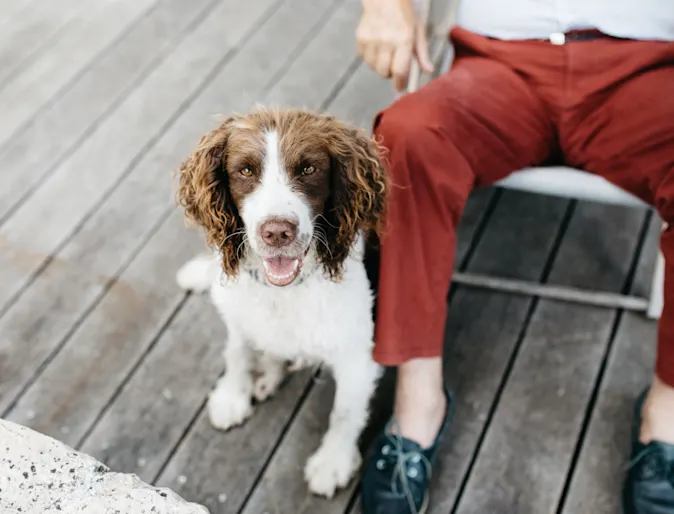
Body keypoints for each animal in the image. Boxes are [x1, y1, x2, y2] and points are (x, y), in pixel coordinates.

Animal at [173, 108, 388, 496]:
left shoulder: (357, 356)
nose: (276, 232)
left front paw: (332, 461)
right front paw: (233, 395)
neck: (283, 291)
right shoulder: (239, 314)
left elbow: (345, 412)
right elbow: (236, 352)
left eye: (308, 169)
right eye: (245, 171)